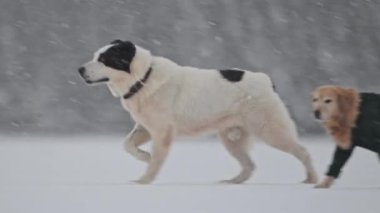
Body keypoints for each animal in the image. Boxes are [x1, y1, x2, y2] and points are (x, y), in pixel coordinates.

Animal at [78, 40, 318, 185]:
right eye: (96, 56)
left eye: (104, 59)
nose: (79, 69)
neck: (143, 78)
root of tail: (266, 80)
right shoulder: (145, 128)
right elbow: (127, 145)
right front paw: (145, 157)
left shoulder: (162, 132)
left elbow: (156, 161)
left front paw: (143, 181)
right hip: (231, 138)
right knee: (249, 166)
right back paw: (231, 183)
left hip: (270, 130)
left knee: (303, 151)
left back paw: (312, 180)